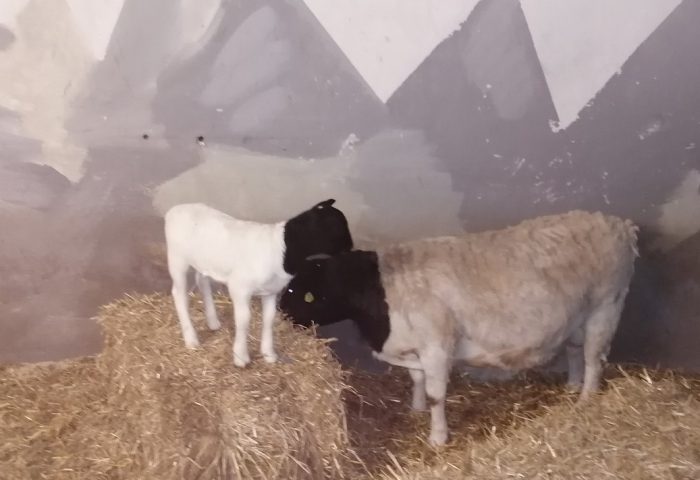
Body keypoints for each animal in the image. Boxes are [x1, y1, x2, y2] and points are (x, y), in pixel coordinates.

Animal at [163, 199, 350, 368]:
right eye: (339, 230)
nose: (350, 248)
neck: (283, 249)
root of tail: (174, 210)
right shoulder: (239, 287)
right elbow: (244, 319)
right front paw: (241, 357)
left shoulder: (271, 292)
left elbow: (269, 318)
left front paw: (268, 354)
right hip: (177, 260)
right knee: (179, 294)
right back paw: (191, 339)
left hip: (204, 262)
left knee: (202, 281)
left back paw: (213, 322)